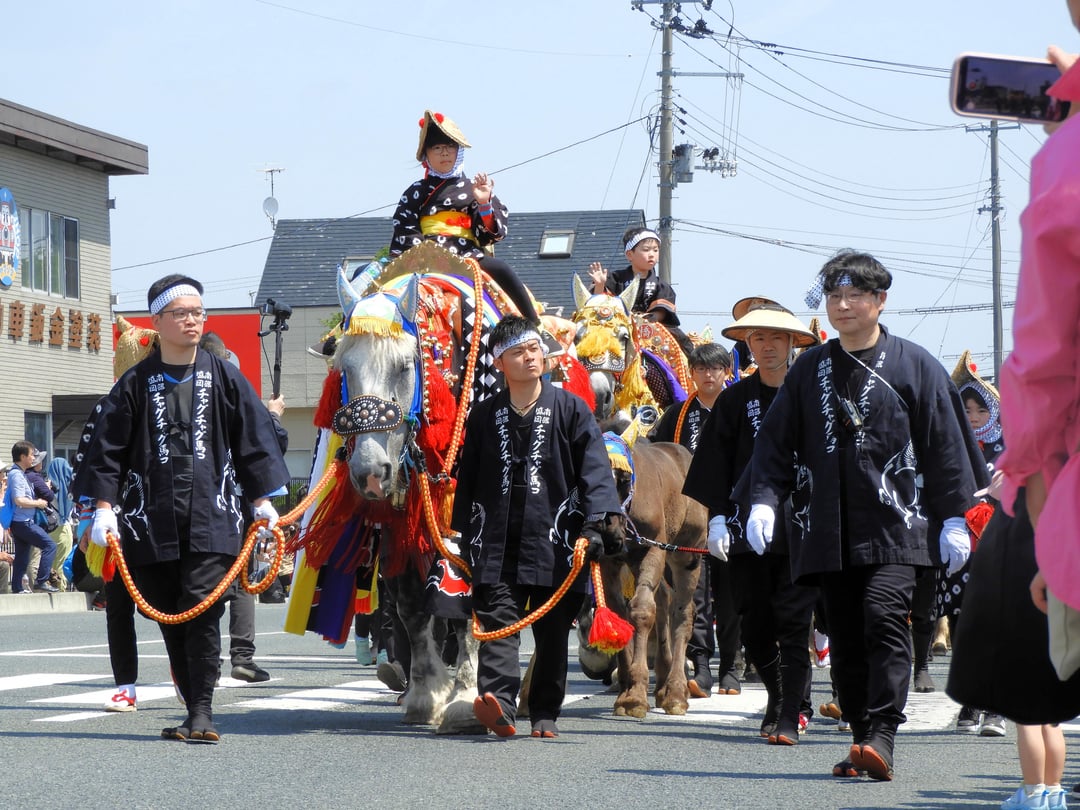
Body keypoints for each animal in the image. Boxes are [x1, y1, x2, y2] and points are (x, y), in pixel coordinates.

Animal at [282, 243, 596, 734]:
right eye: (343, 369)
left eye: (403, 366)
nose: (369, 471)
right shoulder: (400, 515)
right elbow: (411, 607)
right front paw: (425, 692)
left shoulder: (473, 507)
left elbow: (469, 605)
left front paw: (466, 699)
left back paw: (529, 692)